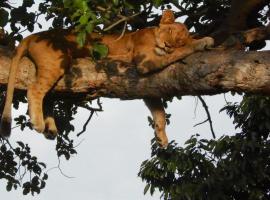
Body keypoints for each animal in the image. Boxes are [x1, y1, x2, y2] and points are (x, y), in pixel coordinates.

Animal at [0, 10, 215, 148]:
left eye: (179, 40)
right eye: (169, 32)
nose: (167, 45)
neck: (153, 34)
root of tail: (33, 36)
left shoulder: (147, 83)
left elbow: (158, 111)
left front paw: (162, 136)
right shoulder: (146, 62)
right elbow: (180, 53)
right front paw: (203, 41)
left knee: (48, 97)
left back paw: (51, 128)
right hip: (55, 62)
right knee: (35, 90)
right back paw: (38, 123)